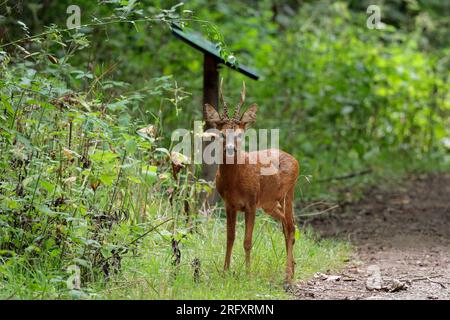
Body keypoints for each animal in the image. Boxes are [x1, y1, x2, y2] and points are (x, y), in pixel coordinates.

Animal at [204, 80, 298, 284]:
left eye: (240, 135)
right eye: (222, 134)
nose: (231, 149)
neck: (234, 182)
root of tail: (295, 159)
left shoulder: (252, 202)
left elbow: (247, 241)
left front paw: (248, 275)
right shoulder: (229, 204)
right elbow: (230, 238)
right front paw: (225, 271)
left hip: (289, 192)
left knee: (290, 227)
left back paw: (287, 275)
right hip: (269, 203)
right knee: (286, 225)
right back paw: (293, 270)